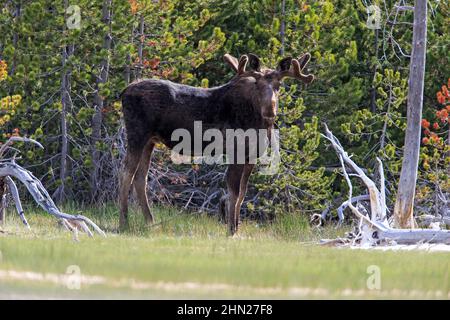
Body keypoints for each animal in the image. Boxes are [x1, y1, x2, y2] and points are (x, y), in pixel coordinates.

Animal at [121, 52, 314, 235]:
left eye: (279, 86)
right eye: (257, 85)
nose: (270, 109)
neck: (259, 123)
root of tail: (124, 92)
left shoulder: (251, 155)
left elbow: (242, 193)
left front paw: (236, 227)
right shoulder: (236, 151)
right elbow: (233, 191)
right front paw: (231, 230)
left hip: (150, 140)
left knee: (141, 177)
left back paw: (150, 222)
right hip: (137, 133)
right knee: (126, 173)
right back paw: (124, 221)